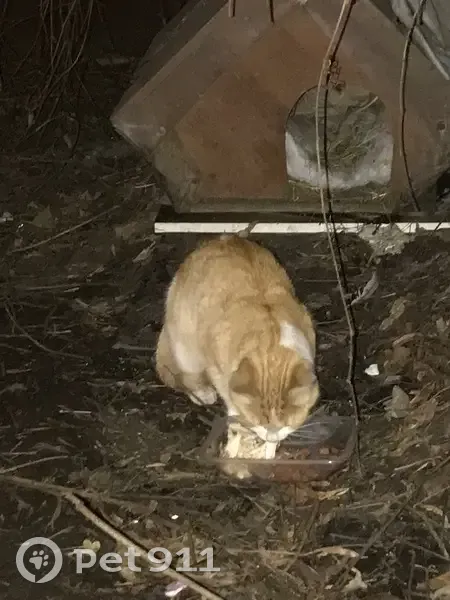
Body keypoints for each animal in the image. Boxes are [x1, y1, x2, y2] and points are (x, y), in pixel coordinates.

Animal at [155, 234, 319, 459]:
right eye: (259, 421)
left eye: (285, 423)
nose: (271, 436)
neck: (272, 344)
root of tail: (223, 238)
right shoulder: (218, 368)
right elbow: (231, 402)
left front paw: (268, 451)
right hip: (185, 348)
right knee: (184, 376)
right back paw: (202, 392)